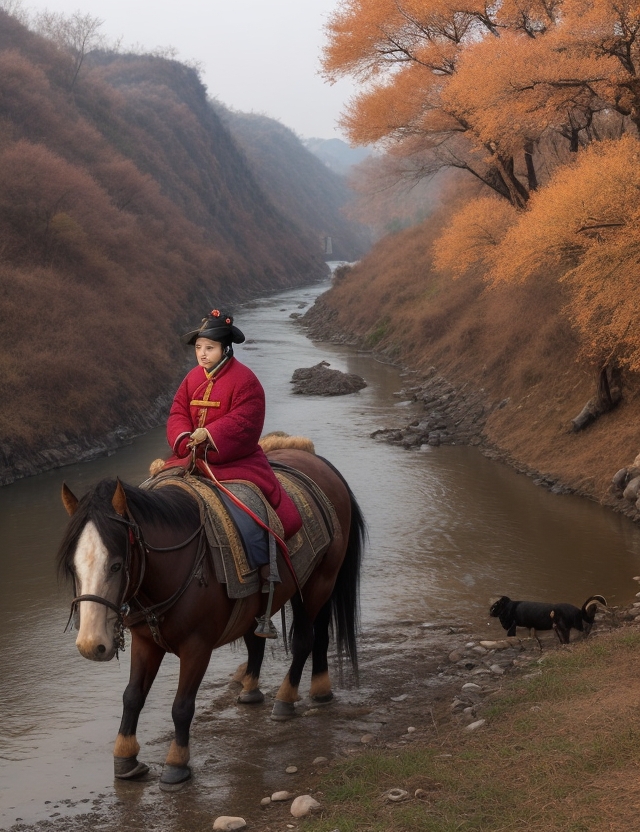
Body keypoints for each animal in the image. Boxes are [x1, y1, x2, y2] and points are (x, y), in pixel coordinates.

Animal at [57, 446, 364, 788]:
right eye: (72, 565)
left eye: (116, 565)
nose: (91, 644)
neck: (174, 564)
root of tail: (320, 464)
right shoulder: (145, 641)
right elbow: (132, 696)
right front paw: (125, 757)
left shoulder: (197, 647)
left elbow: (181, 706)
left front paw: (176, 763)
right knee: (273, 638)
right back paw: (276, 689)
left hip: (318, 581)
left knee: (305, 639)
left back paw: (287, 698)